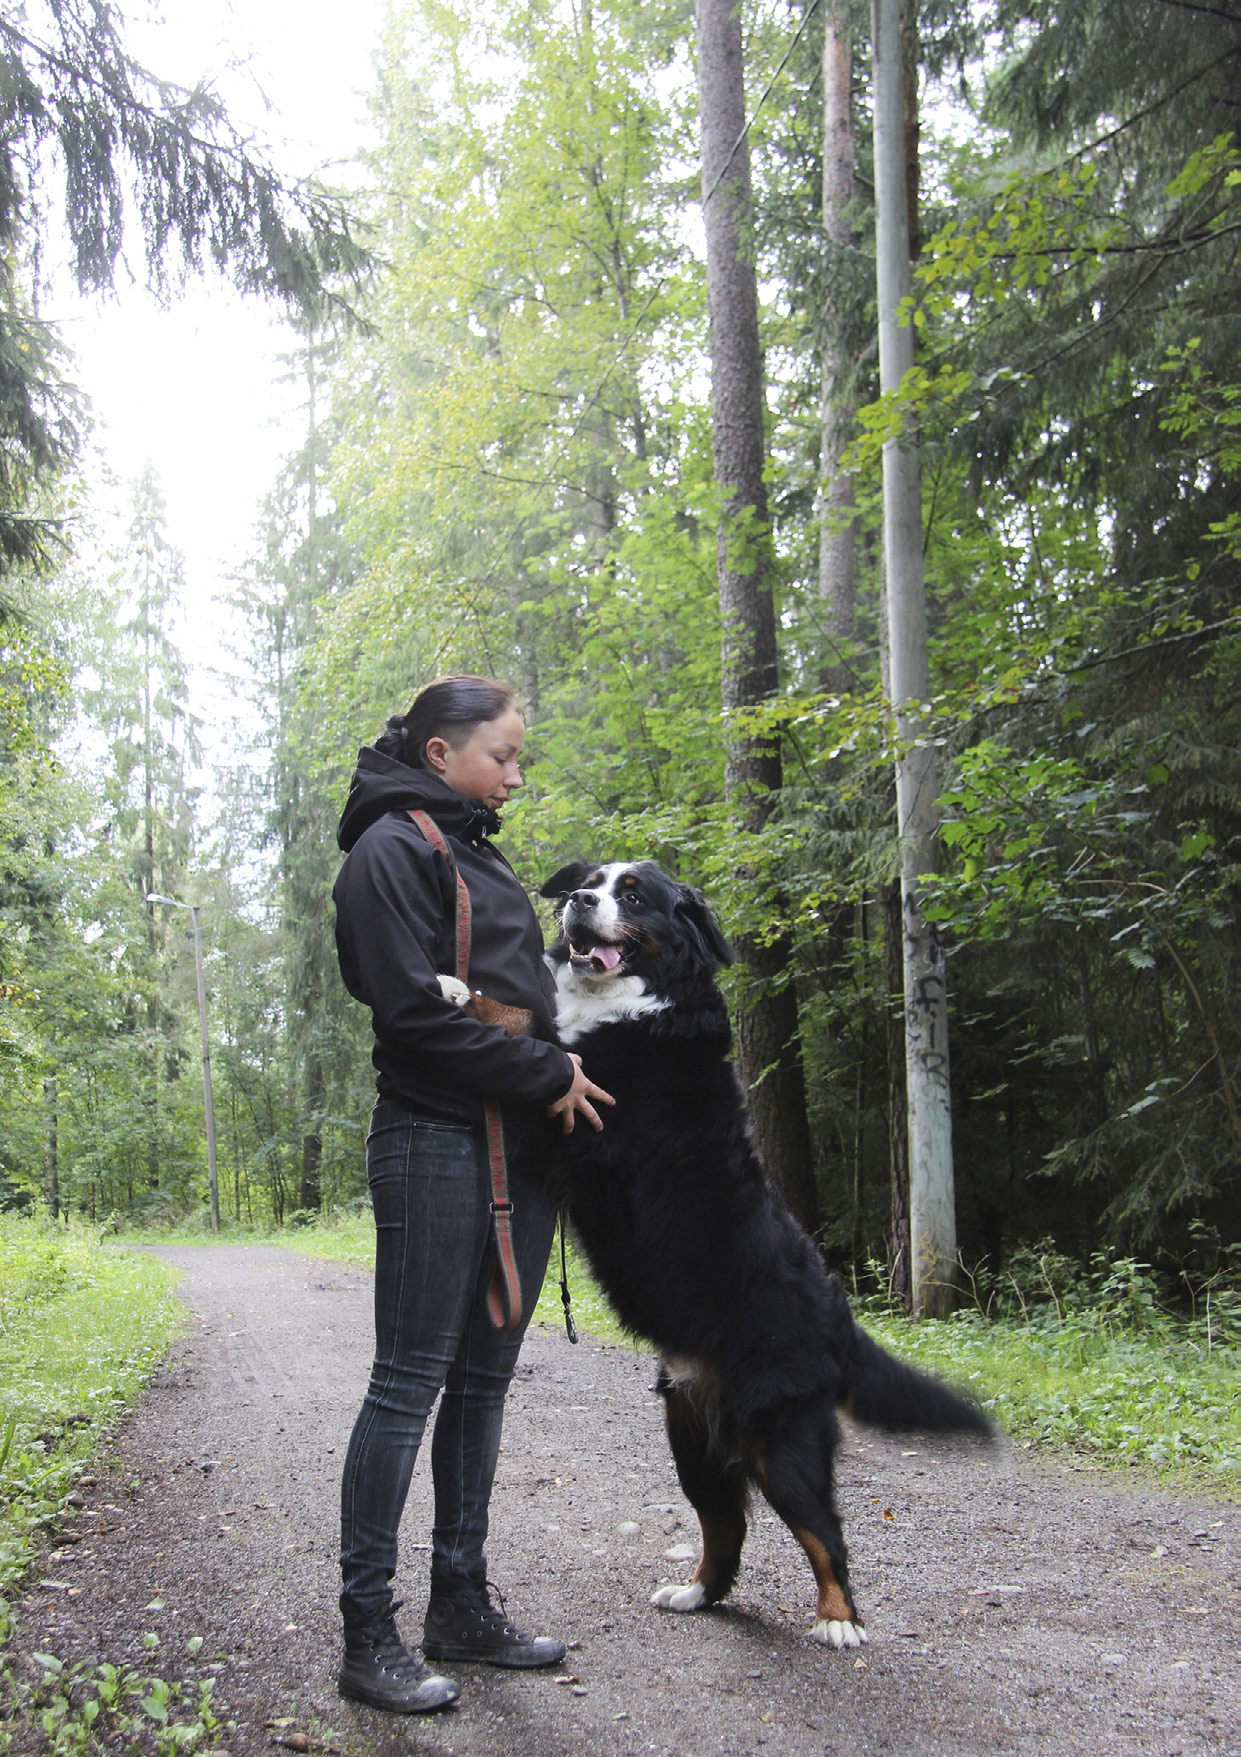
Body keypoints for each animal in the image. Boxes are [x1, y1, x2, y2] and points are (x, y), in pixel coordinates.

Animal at [537, 857, 991, 1651]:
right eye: (589, 879)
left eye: (633, 895)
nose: (577, 901)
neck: (638, 1008)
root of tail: (839, 1315)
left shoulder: (585, 1111)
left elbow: (519, 1028)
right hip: (693, 1438)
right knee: (726, 1528)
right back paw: (696, 1593)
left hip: (781, 1443)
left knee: (825, 1534)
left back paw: (839, 1622)